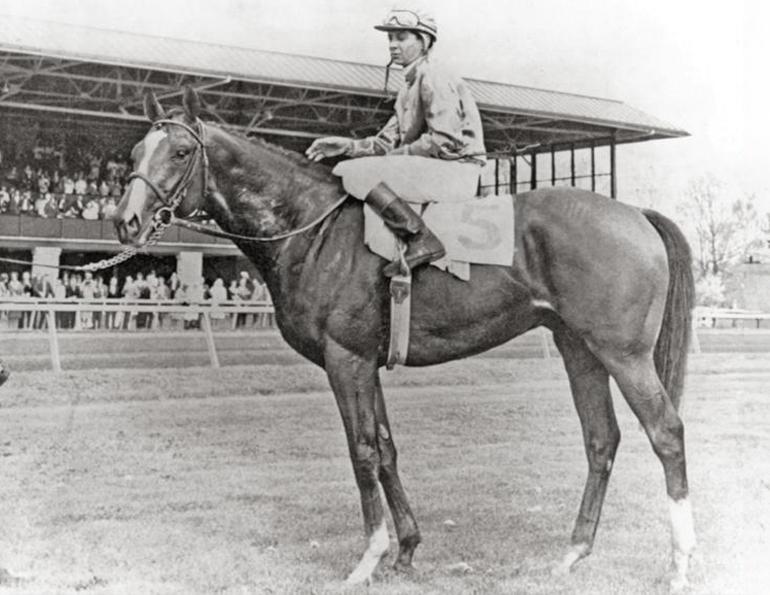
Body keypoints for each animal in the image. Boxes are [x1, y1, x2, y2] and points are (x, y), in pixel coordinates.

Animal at [113, 87, 696, 591]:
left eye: (181, 151)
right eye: (138, 150)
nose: (126, 221)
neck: (314, 229)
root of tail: (634, 212)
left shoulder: (345, 360)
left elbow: (363, 452)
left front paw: (368, 558)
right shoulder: (366, 363)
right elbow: (388, 450)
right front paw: (407, 548)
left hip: (623, 354)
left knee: (666, 433)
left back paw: (679, 563)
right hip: (580, 350)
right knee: (601, 440)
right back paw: (573, 553)